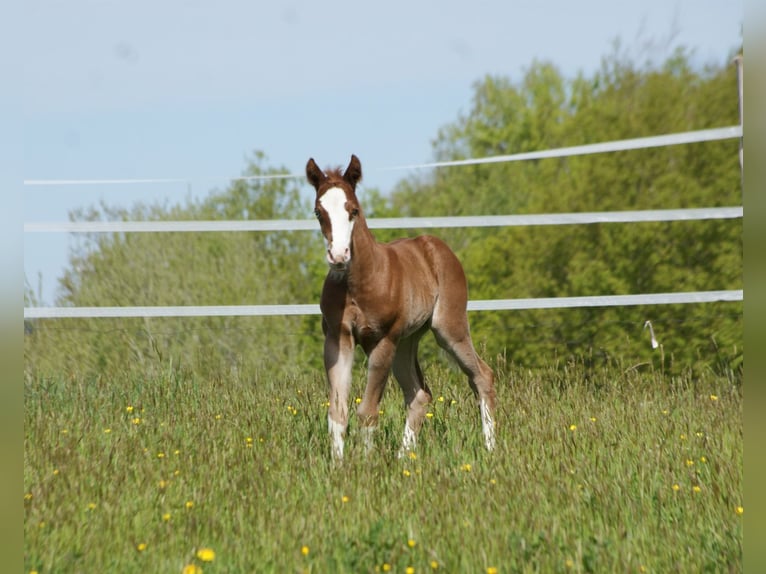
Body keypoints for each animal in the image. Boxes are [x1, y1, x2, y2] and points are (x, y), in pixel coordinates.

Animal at [306, 154, 496, 460]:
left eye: (353, 210)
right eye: (318, 212)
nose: (338, 256)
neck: (359, 283)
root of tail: (438, 247)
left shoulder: (383, 340)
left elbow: (368, 412)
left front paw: (366, 464)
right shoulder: (338, 339)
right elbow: (337, 412)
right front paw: (339, 466)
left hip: (447, 328)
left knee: (482, 376)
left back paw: (490, 449)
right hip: (407, 341)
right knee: (420, 394)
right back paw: (404, 458)